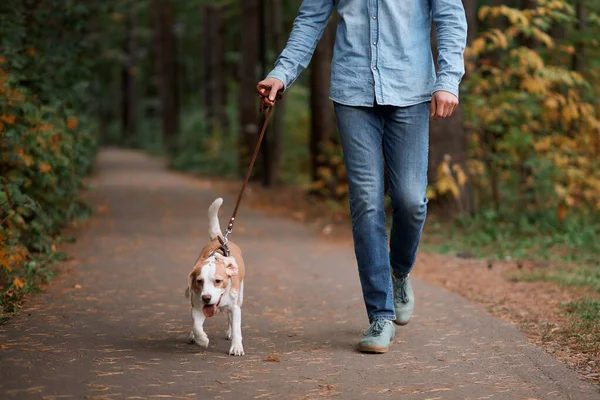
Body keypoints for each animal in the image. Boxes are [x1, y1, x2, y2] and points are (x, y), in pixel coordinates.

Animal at [185, 198, 246, 356]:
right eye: (199, 281)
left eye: (218, 281)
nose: (206, 298)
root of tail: (219, 239)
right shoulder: (197, 306)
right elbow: (197, 326)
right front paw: (201, 339)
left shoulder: (235, 308)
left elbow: (236, 328)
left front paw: (236, 347)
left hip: (240, 298)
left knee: (231, 320)